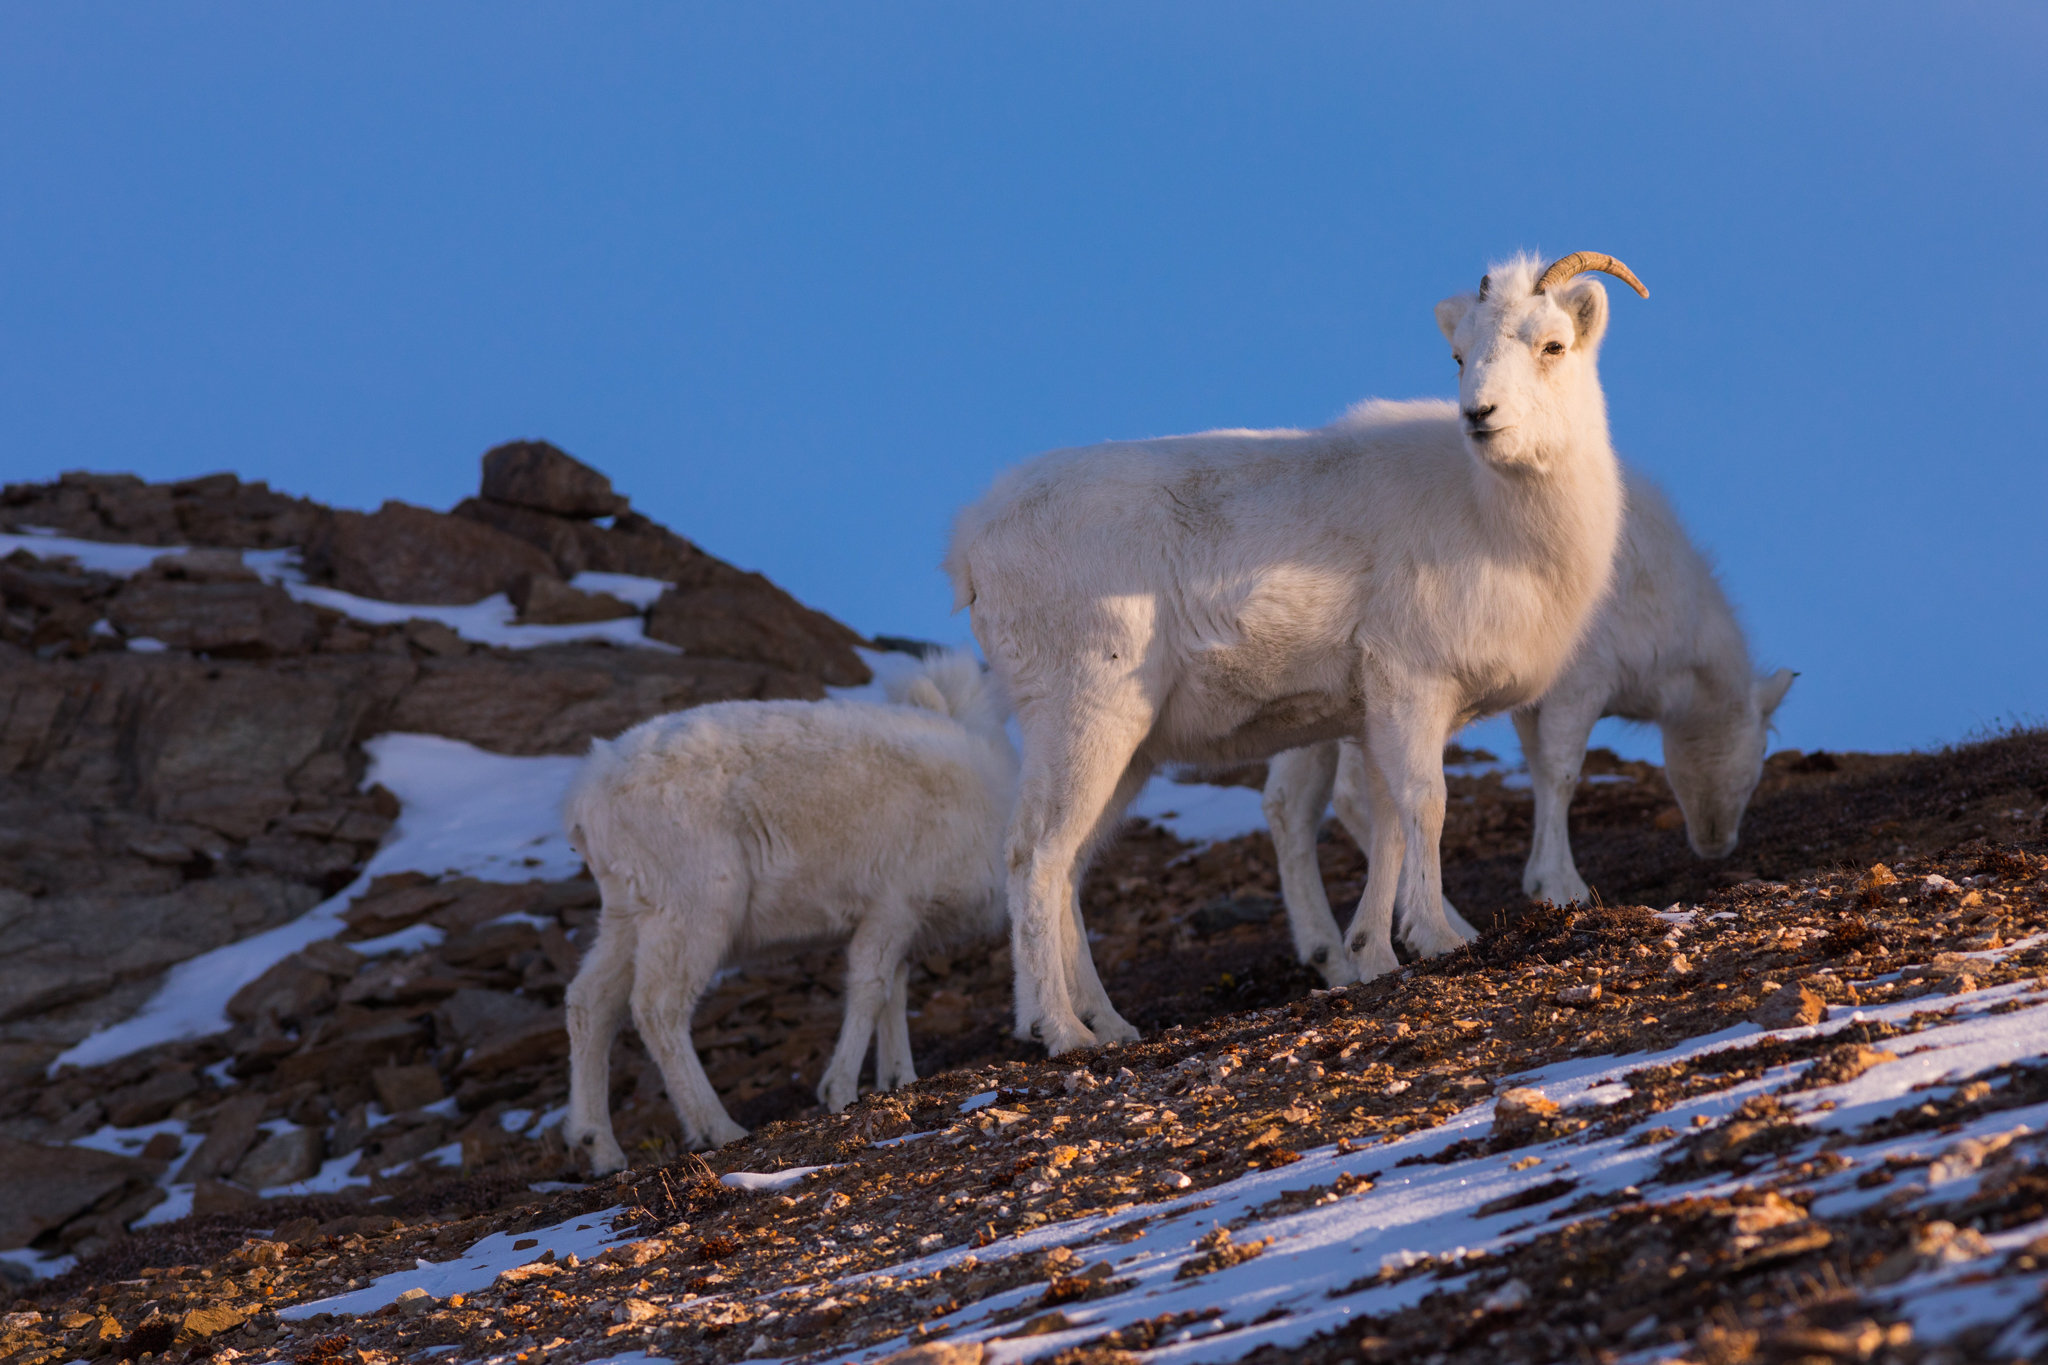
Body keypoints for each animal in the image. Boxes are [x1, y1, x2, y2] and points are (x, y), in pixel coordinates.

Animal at [557, 654, 1011, 1178]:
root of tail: (585, 799)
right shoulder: (892, 909)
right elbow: (871, 989)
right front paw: (839, 1091)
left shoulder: (901, 926)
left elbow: (893, 993)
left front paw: (899, 1078)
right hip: (692, 910)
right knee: (657, 1008)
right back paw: (719, 1128)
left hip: (628, 916)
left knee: (590, 1003)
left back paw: (601, 1149)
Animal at [950, 248, 1654, 1055]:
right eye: (1460, 354)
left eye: (1553, 346)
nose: (1480, 415)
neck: (1495, 519)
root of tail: (972, 545)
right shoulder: (1413, 686)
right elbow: (1427, 806)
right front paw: (1438, 939)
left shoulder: (1378, 714)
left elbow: (1388, 822)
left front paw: (1375, 955)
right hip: (1085, 722)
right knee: (1034, 858)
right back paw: (1064, 1034)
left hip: (1128, 754)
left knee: (1065, 869)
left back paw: (1113, 1025)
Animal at [1261, 466, 1794, 982]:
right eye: (1758, 760)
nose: (1716, 844)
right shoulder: (1580, 682)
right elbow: (1562, 772)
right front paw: (1559, 883)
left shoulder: (1529, 705)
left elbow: (1539, 768)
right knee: (1357, 797)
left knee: (1289, 804)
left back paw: (1329, 953)